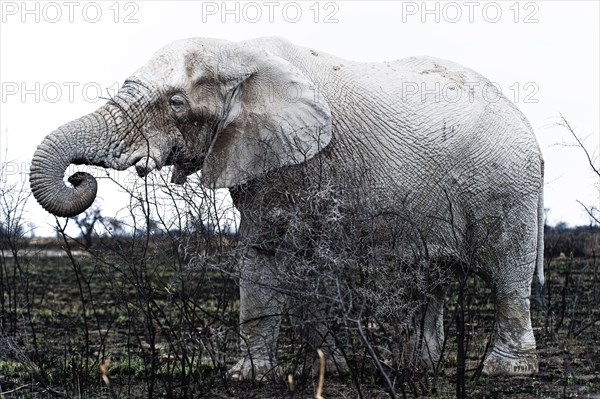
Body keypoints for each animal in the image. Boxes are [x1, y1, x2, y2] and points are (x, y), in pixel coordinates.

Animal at [29, 36, 544, 382]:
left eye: (176, 103)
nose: (79, 178)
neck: (240, 55)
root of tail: (526, 124)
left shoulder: (300, 162)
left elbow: (274, 257)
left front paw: (252, 377)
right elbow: (280, 259)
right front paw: (321, 370)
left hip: (508, 185)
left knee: (507, 272)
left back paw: (505, 373)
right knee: (430, 276)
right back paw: (418, 367)